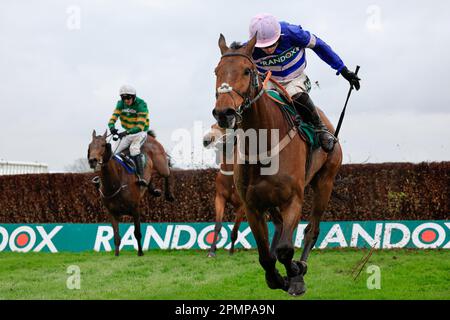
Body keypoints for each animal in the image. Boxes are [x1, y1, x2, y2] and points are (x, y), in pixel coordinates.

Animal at [204, 122, 246, 258]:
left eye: (222, 127)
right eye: (212, 127)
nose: (206, 140)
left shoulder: (242, 206)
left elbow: (235, 230)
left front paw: (231, 251)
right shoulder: (220, 198)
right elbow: (217, 226)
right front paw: (212, 251)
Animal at [213, 34, 342, 296]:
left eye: (247, 70)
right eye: (216, 71)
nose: (224, 113)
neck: (263, 145)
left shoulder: (293, 199)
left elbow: (285, 249)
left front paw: (295, 274)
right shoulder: (252, 205)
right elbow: (265, 255)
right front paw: (276, 278)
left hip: (325, 181)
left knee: (311, 230)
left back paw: (300, 268)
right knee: (281, 229)